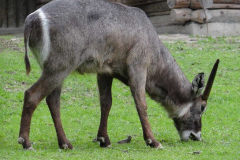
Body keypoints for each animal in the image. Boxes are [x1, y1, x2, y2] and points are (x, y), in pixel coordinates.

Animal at [17, 0, 219, 150]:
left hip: (56, 71)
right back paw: (26, 142)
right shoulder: (138, 68)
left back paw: (65, 143)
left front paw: (103, 139)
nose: (196, 136)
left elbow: (106, 103)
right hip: (59, 68)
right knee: (32, 94)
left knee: (53, 100)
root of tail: (32, 18)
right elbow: (141, 103)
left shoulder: (104, 73)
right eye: (202, 107)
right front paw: (153, 141)